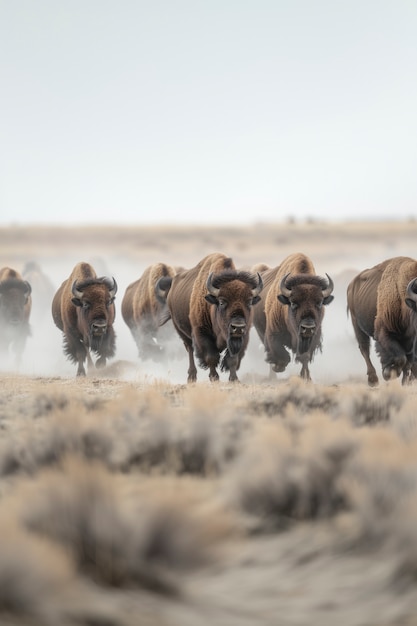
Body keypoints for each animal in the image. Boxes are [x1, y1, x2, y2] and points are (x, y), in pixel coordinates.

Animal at [158, 252, 262, 380]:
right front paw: (214, 377)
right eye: (221, 302)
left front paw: (234, 379)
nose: (238, 327)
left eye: (249, 302)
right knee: (190, 349)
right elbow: (211, 357)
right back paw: (191, 376)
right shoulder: (202, 334)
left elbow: (233, 359)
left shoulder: (242, 337)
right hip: (181, 331)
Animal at [250, 250, 334, 378]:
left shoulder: (313, 337)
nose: (307, 327)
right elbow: (282, 355)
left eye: (319, 303)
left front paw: (306, 377)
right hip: (260, 330)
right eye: (293, 303)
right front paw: (278, 367)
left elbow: (305, 356)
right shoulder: (273, 334)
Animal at [346, 255, 417, 386]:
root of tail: (351, 285)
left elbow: (408, 360)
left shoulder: (410, 339)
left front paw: (406, 381)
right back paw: (373, 380)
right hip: (357, 325)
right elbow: (401, 358)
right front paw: (388, 373)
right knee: (364, 349)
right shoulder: (384, 333)